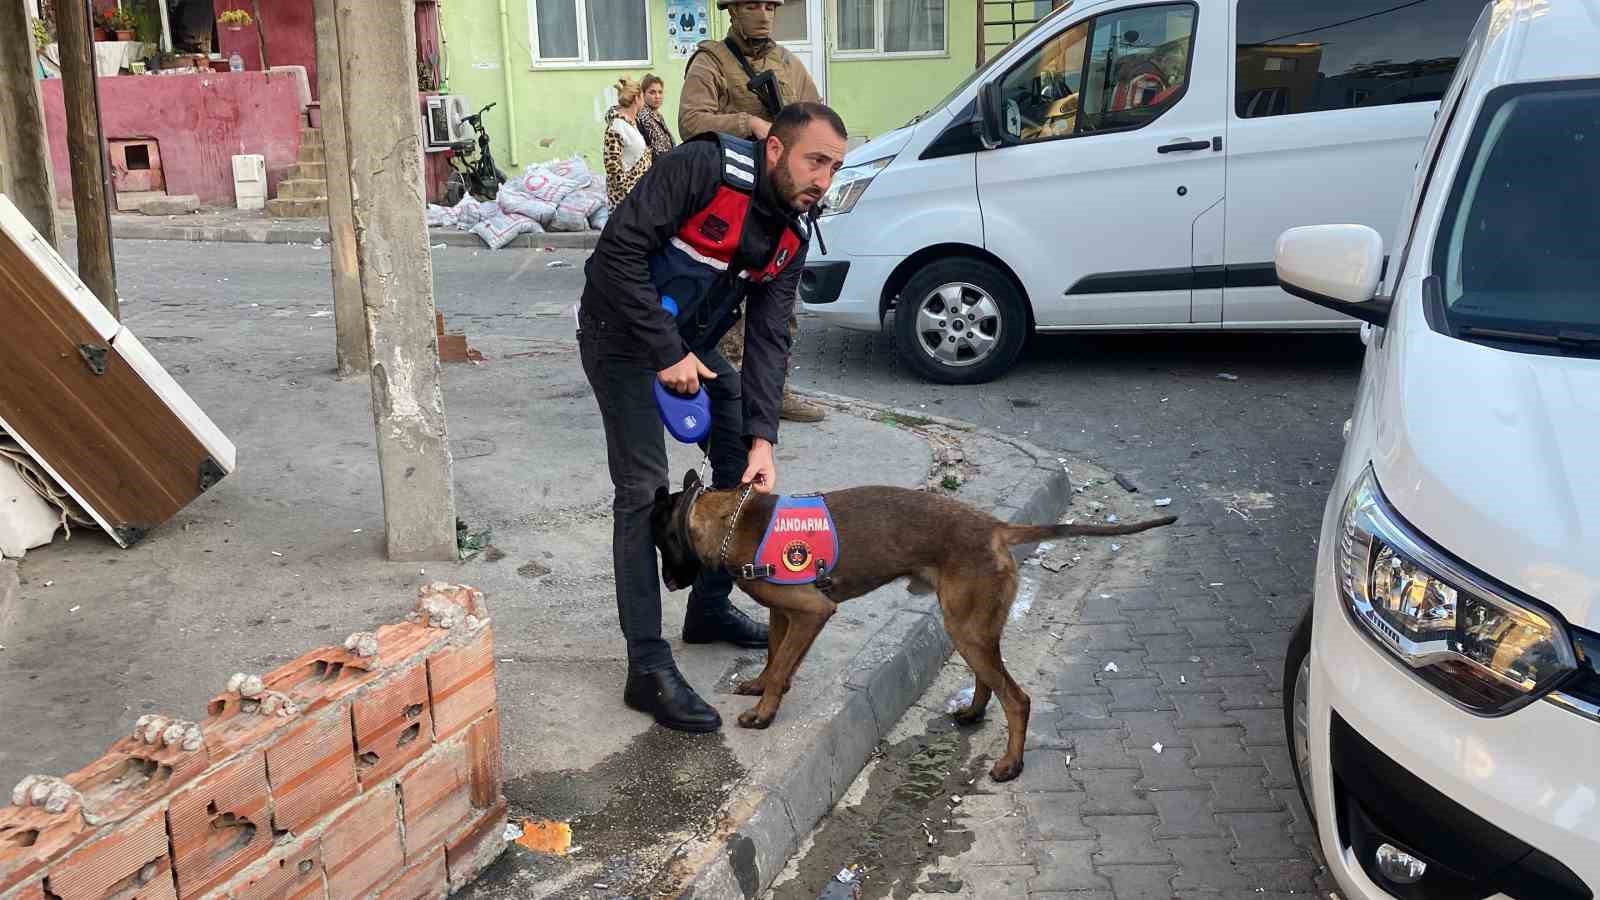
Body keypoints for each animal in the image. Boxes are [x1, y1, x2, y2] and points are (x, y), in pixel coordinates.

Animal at [649, 470, 1177, 778]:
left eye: (659, 541)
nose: (668, 582)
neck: (733, 521)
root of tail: (994, 527)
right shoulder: (785, 615)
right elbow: (777, 657)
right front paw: (760, 688)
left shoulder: (812, 611)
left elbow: (782, 666)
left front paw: (764, 713)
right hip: (967, 626)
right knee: (989, 681)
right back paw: (972, 713)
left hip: (966, 628)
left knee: (1017, 698)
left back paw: (1010, 763)